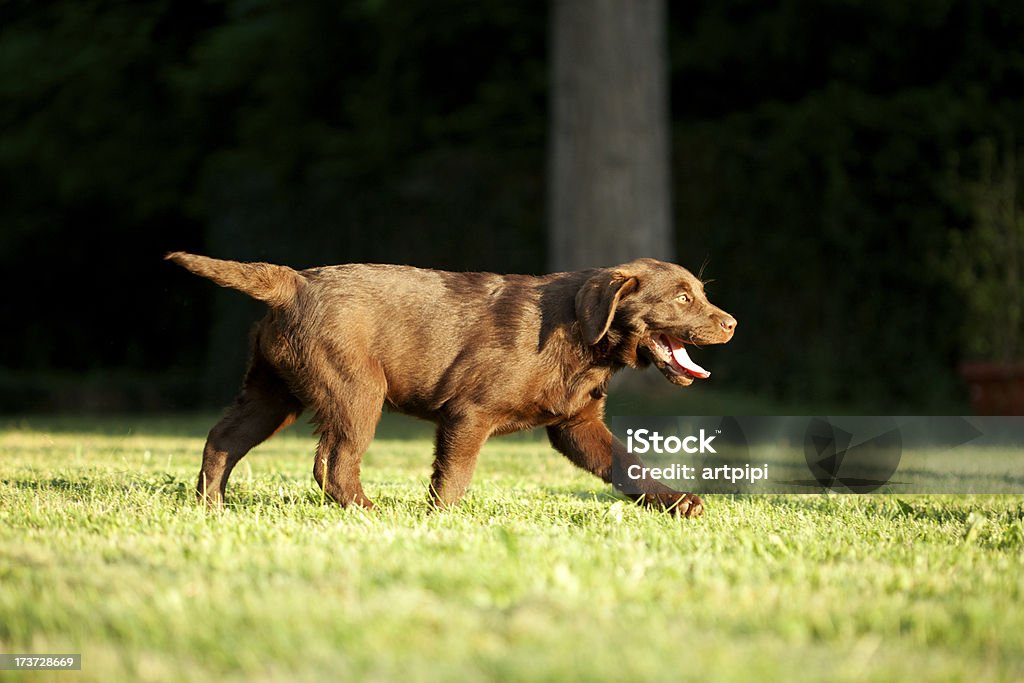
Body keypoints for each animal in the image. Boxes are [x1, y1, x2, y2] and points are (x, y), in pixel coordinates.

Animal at [167, 253, 737, 516]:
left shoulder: (576, 423)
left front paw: (677, 503)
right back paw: (367, 512)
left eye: (700, 293)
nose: (732, 323)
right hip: (356, 389)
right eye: (683, 299)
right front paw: (443, 518)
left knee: (224, 439)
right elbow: (455, 475)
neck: (581, 334)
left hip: (273, 390)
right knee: (333, 461)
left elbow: (625, 462)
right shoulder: (470, 412)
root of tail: (292, 282)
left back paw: (210, 506)